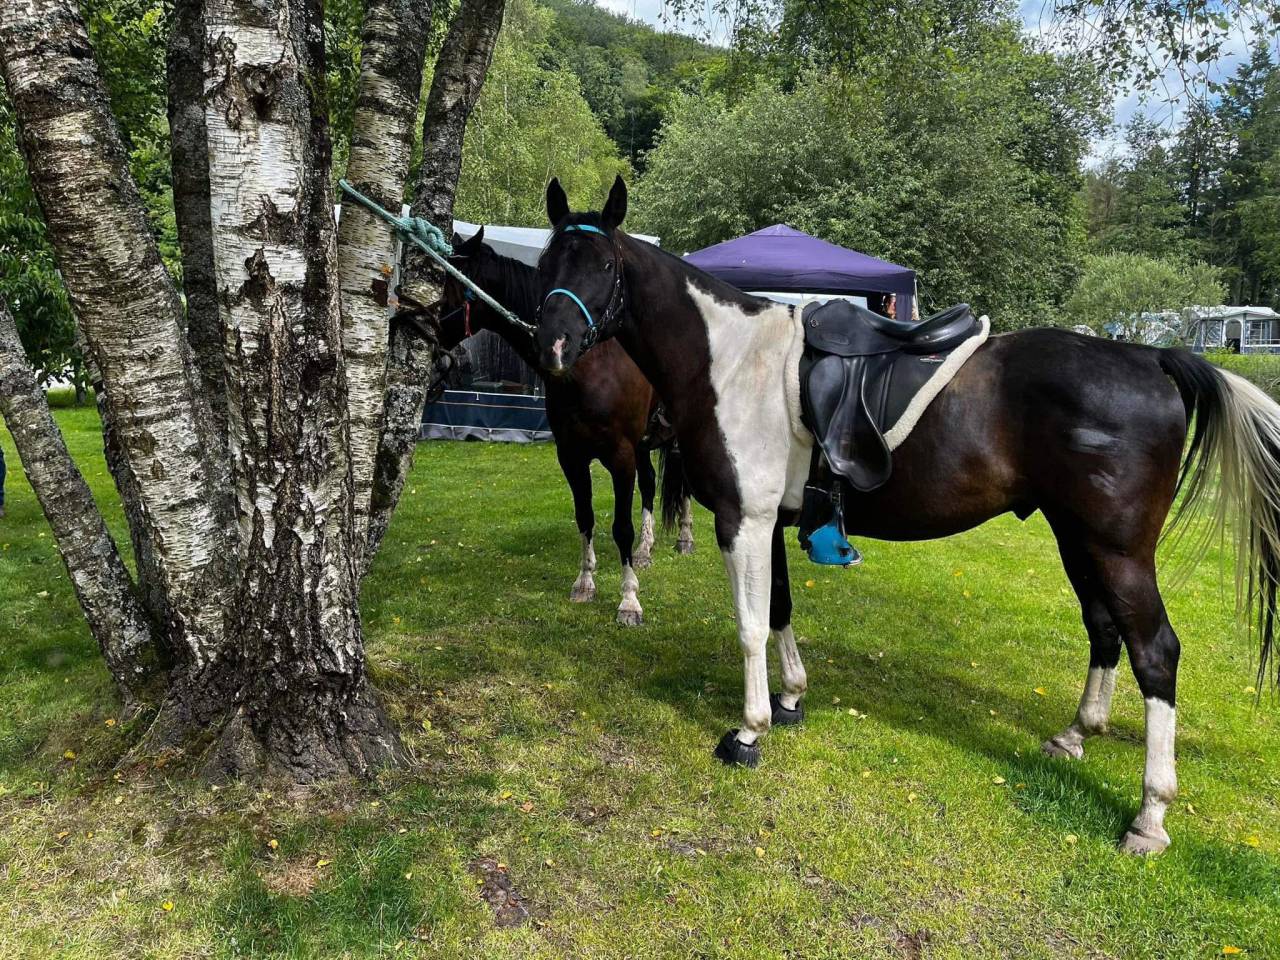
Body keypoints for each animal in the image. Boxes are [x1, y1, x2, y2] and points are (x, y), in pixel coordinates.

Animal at [407, 227, 695, 625]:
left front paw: (629, 600)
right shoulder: (572, 456)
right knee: (652, 485)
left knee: (683, 486)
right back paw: (646, 549)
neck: (588, 366)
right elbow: (585, 517)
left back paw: (684, 538)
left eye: (441, 286)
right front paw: (585, 583)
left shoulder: (620, 456)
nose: (404, 322)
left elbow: (621, 527)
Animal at [530, 174, 1280, 855]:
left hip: (1117, 551)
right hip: (1078, 540)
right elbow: (778, 612)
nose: (553, 348)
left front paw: (748, 730)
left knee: (1155, 651)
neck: (733, 363)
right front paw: (792, 698)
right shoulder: (772, 521)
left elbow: (747, 626)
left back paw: (1149, 815)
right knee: (1104, 629)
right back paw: (1074, 736)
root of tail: (1152, 357)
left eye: (603, 266)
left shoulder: (742, 520)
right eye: (545, 265)